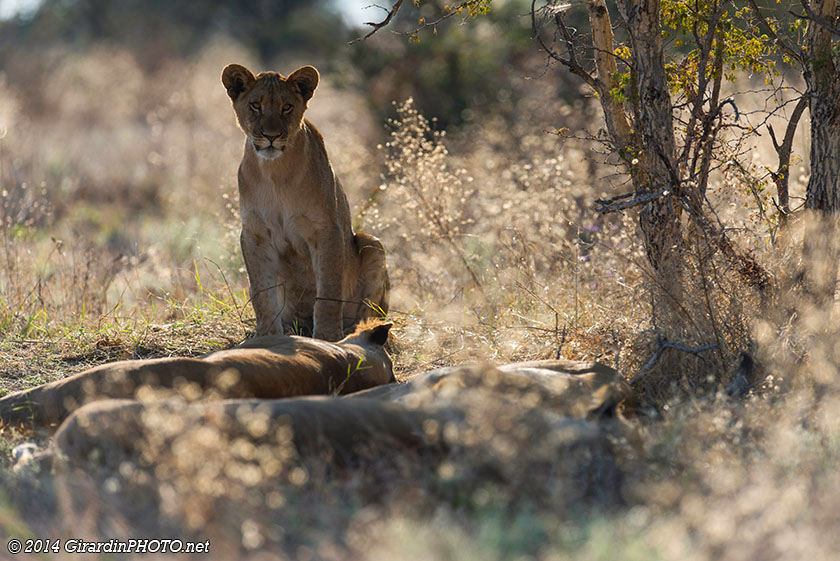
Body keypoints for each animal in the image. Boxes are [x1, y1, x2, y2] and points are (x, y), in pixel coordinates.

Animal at [222, 63, 389, 341]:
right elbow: (262, 292)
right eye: (256, 105)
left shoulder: (327, 229)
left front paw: (328, 336)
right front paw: (268, 335)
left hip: (372, 243)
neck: (275, 173)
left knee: (373, 312)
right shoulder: (255, 233)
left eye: (287, 107)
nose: (271, 136)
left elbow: (329, 290)